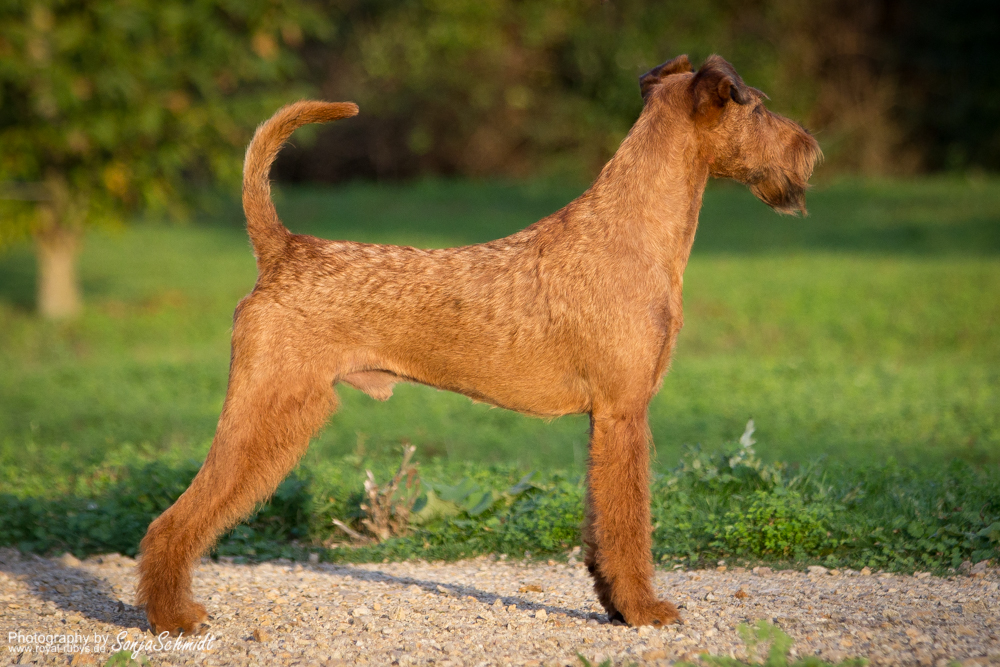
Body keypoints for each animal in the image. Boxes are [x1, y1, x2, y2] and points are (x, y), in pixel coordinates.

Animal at [136, 54, 821, 634]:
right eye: (757, 107)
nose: (813, 149)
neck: (633, 230)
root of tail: (282, 250)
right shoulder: (626, 411)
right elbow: (631, 525)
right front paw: (644, 611)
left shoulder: (605, 419)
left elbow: (602, 527)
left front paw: (614, 606)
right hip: (271, 406)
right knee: (172, 521)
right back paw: (175, 618)